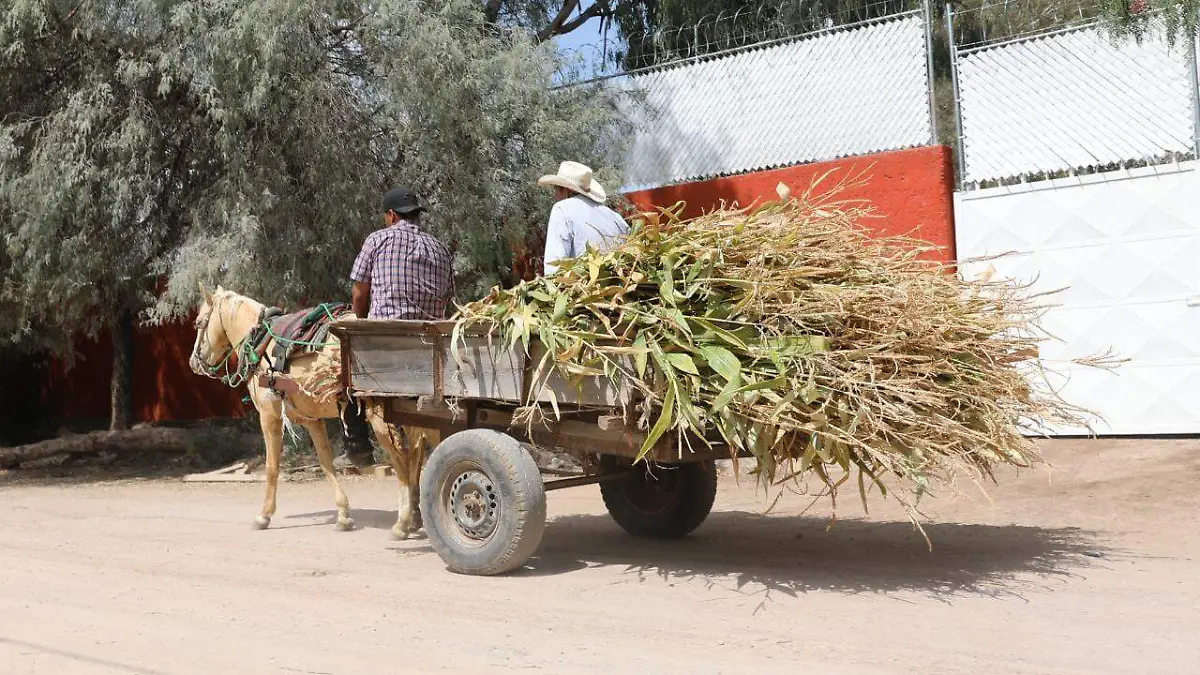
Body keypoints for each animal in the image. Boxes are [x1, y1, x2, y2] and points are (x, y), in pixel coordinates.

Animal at [184, 282, 434, 535]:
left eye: (198, 323)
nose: (193, 362)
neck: (261, 343)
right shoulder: (312, 419)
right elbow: (325, 462)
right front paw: (343, 514)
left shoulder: (269, 415)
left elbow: (272, 467)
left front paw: (264, 516)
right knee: (417, 455)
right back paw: (416, 517)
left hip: (380, 419)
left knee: (401, 459)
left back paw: (403, 522)